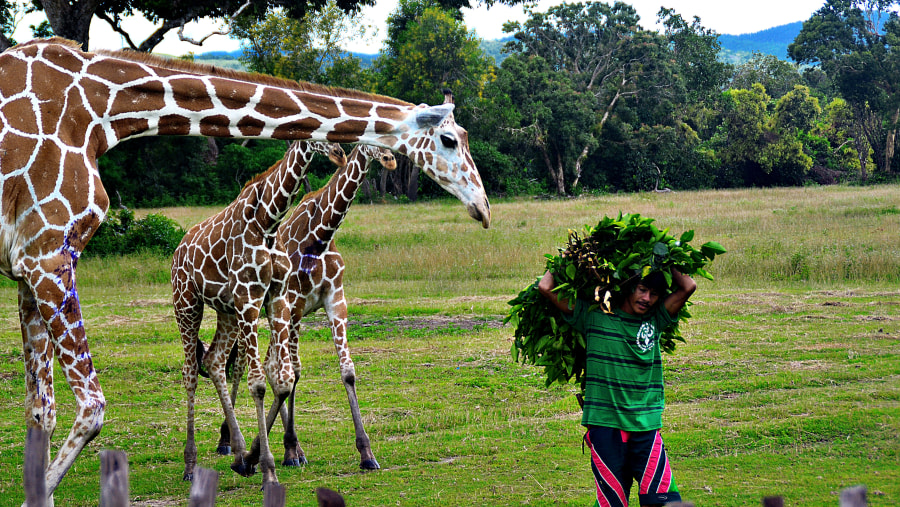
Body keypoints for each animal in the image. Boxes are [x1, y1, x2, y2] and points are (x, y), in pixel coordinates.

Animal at [171, 141, 346, 486]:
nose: (338, 153)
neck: (269, 220)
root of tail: (176, 252)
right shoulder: (250, 298)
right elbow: (259, 384)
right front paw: (268, 470)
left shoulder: (275, 296)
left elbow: (283, 378)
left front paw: (254, 459)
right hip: (186, 303)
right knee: (190, 373)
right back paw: (190, 465)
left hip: (226, 311)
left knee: (213, 360)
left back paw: (238, 453)